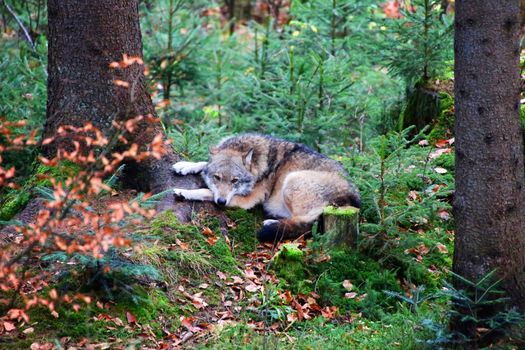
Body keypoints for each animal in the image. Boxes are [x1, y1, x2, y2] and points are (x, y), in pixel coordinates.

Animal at [173, 135, 360, 243]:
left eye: (235, 181)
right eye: (217, 177)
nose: (222, 202)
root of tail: (354, 200)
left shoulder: (245, 200)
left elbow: (207, 191)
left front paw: (184, 192)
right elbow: (204, 163)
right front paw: (185, 165)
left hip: (292, 181)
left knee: (306, 224)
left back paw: (270, 223)